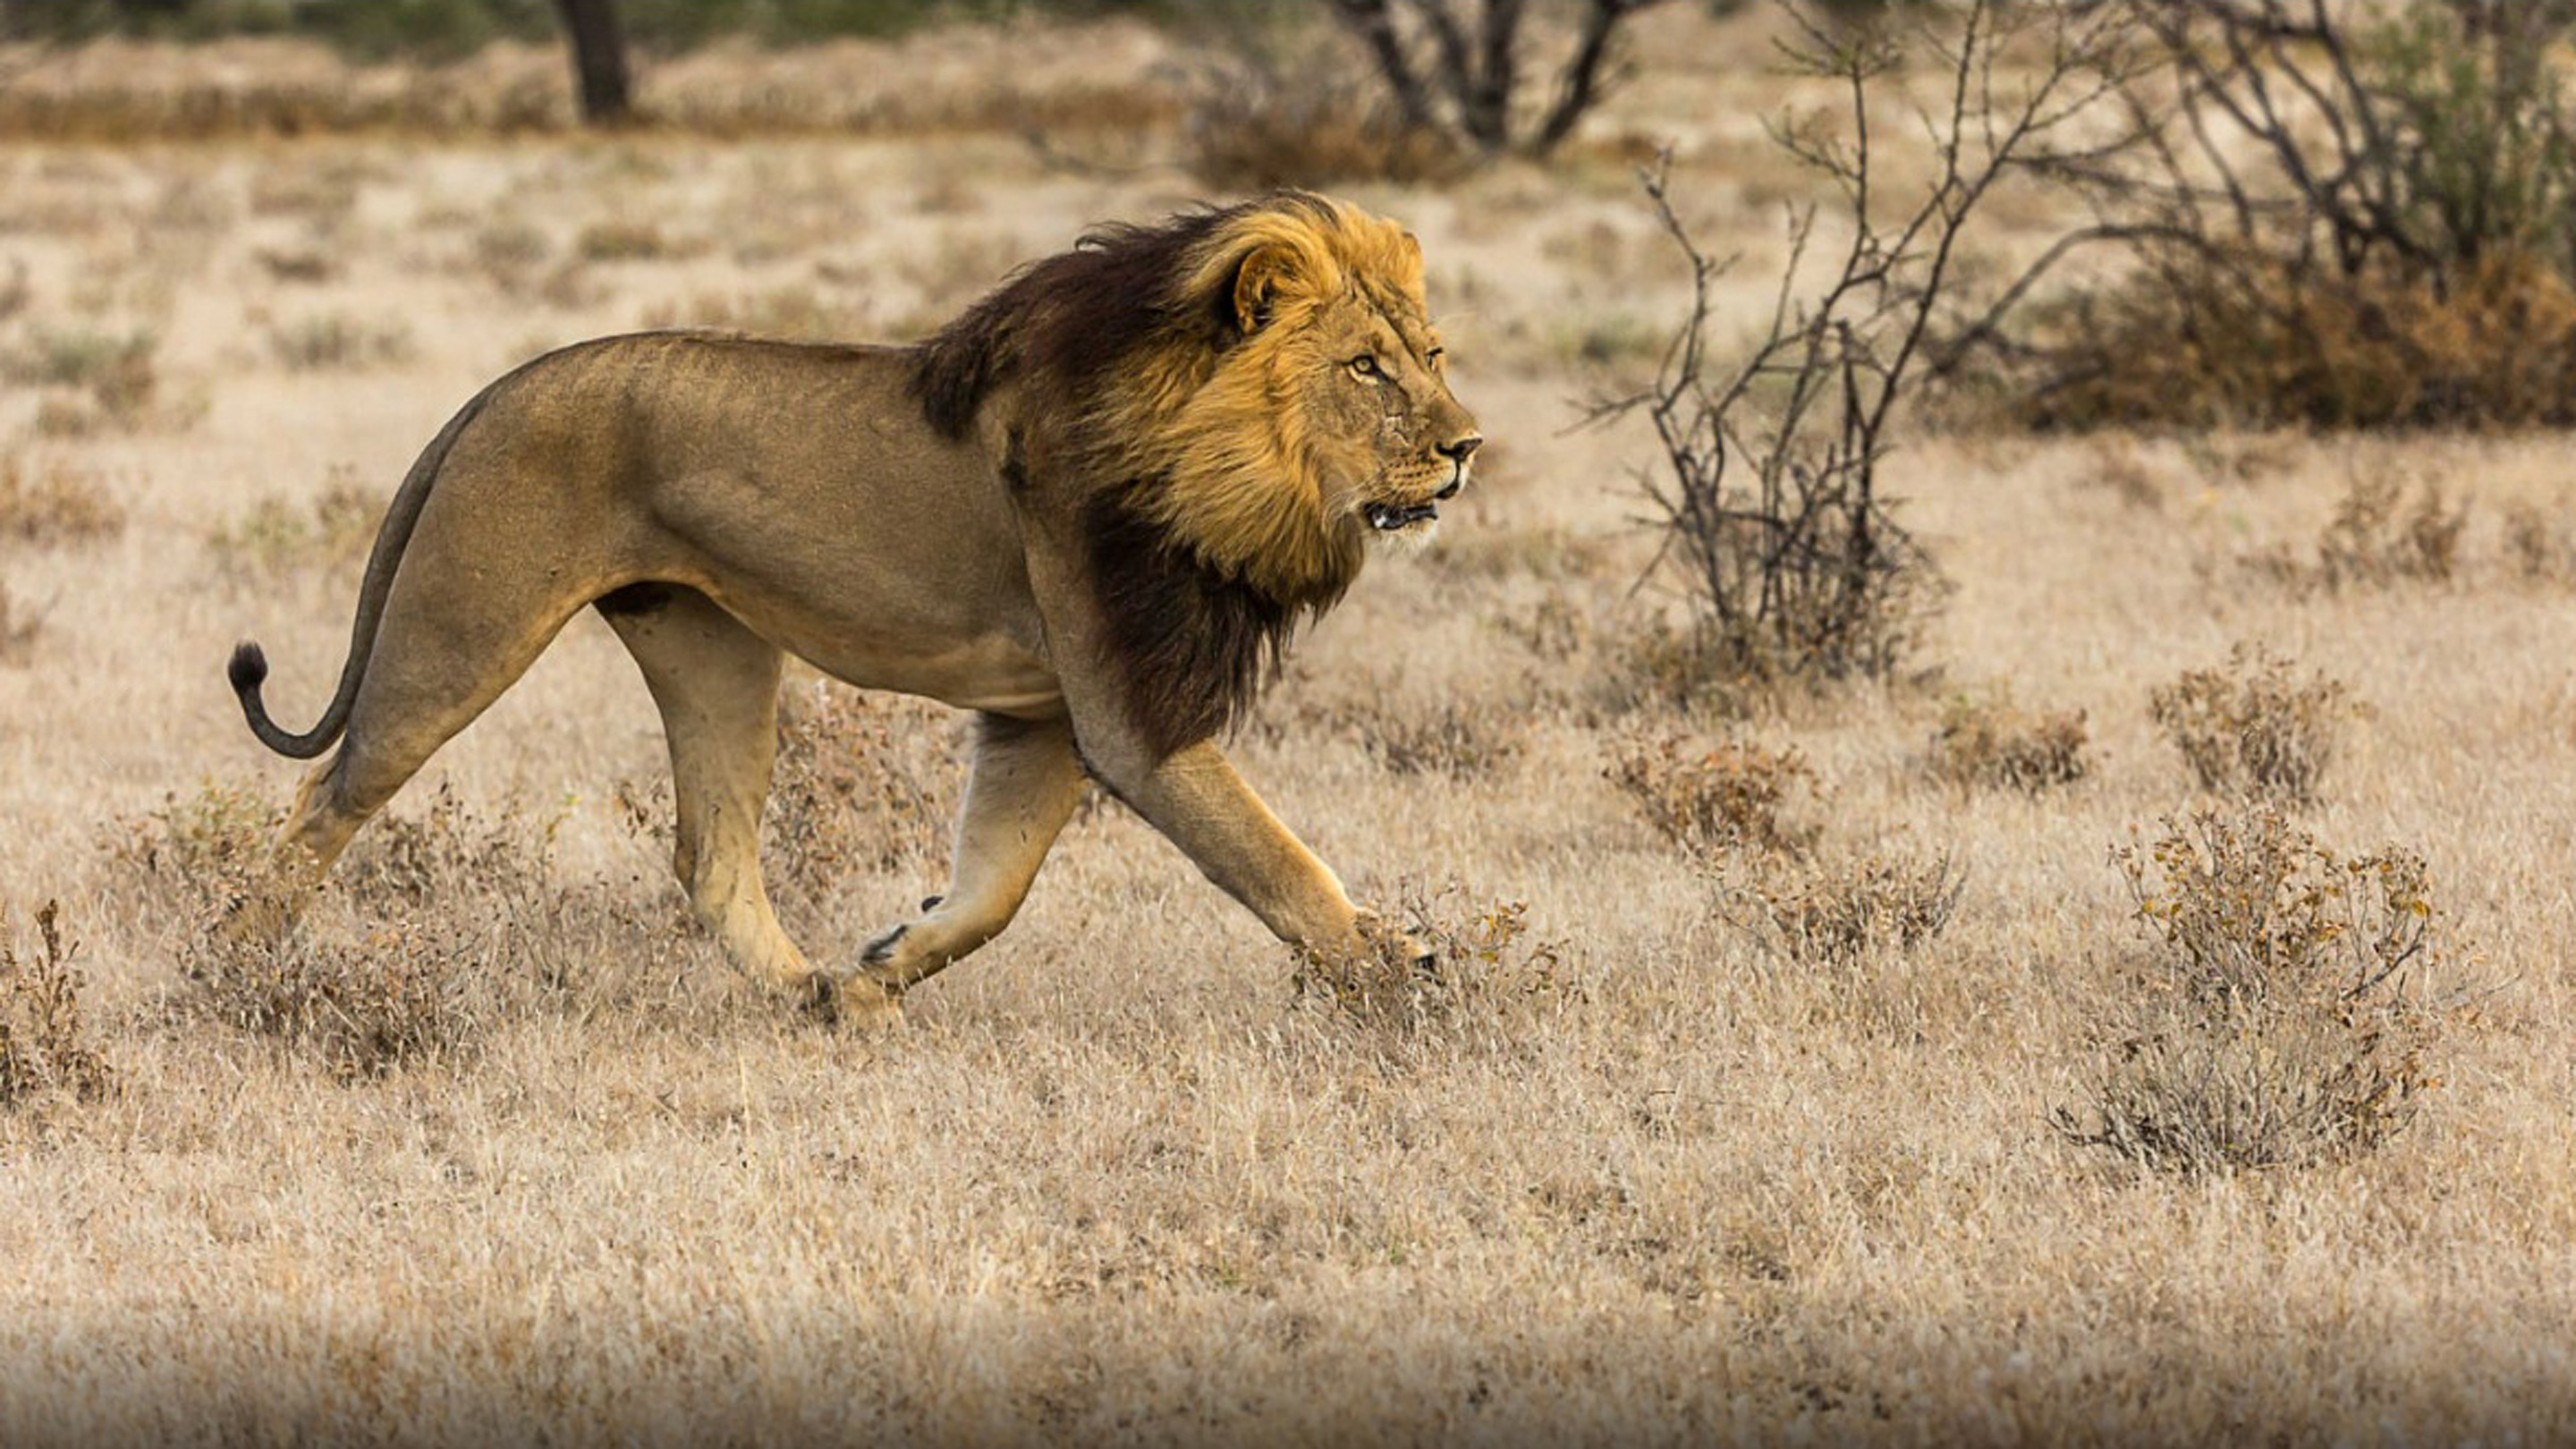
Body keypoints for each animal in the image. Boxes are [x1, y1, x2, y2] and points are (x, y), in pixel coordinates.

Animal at [225, 190, 1482, 1026]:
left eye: (1433, 354)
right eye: (1365, 369)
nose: (1468, 448)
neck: (1206, 451)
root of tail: (492, 390)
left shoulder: (1044, 714)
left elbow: (995, 887)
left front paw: (884, 962)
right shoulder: (1128, 712)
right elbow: (1274, 856)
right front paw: (1398, 973)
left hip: (712, 650)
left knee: (710, 853)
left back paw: (813, 993)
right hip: (460, 632)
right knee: (328, 798)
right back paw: (233, 970)